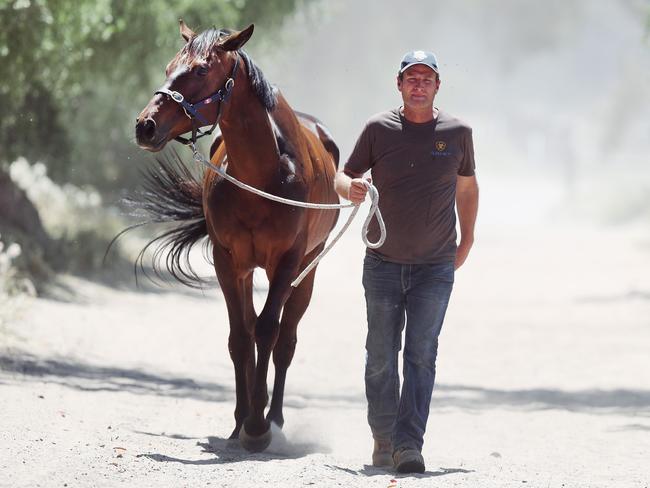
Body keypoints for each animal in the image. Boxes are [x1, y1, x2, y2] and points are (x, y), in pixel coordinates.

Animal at [132, 21, 340, 450]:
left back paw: (274, 419)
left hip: (307, 273)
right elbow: (240, 337)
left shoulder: (288, 264)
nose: (145, 125)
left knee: (286, 341)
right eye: (168, 68)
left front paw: (259, 426)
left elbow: (267, 331)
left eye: (199, 71)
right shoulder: (228, 260)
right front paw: (242, 421)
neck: (263, 175)